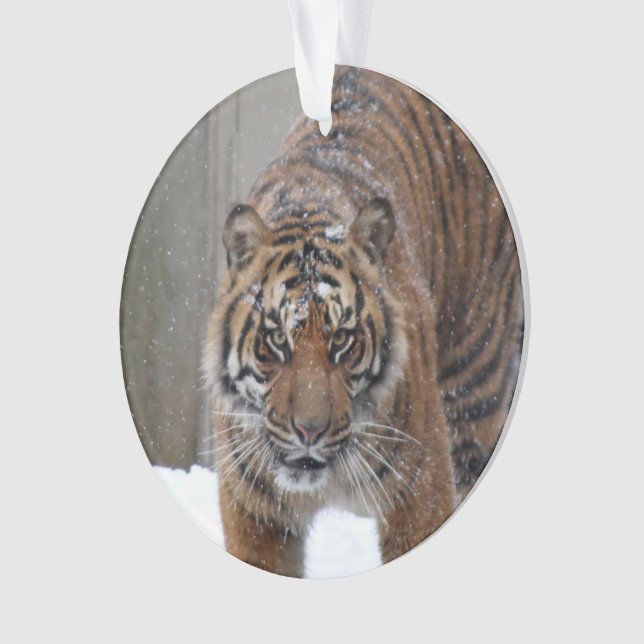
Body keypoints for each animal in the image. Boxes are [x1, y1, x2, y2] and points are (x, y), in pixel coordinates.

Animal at [203, 65, 524, 577]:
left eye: (343, 341)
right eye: (277, 341)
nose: (309, 431)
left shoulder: (421, 491)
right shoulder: (254, 514)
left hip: (478, 384)